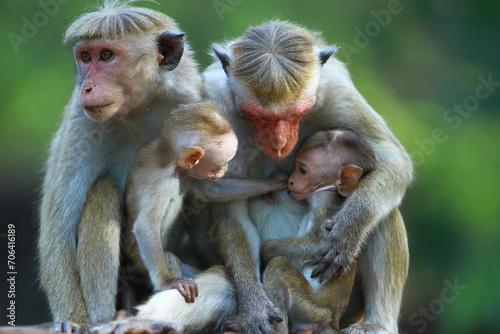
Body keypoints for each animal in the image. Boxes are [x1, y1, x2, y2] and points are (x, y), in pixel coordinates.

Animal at [123, 100, 288, 306]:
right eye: (220, 164)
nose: (224, 170)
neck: (171, 161)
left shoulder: (188, 175)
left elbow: (211, 191)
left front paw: (272, 183)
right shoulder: (163, 183)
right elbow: (145, 224)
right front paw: (167, 282)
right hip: (137, 261)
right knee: (168, 257)